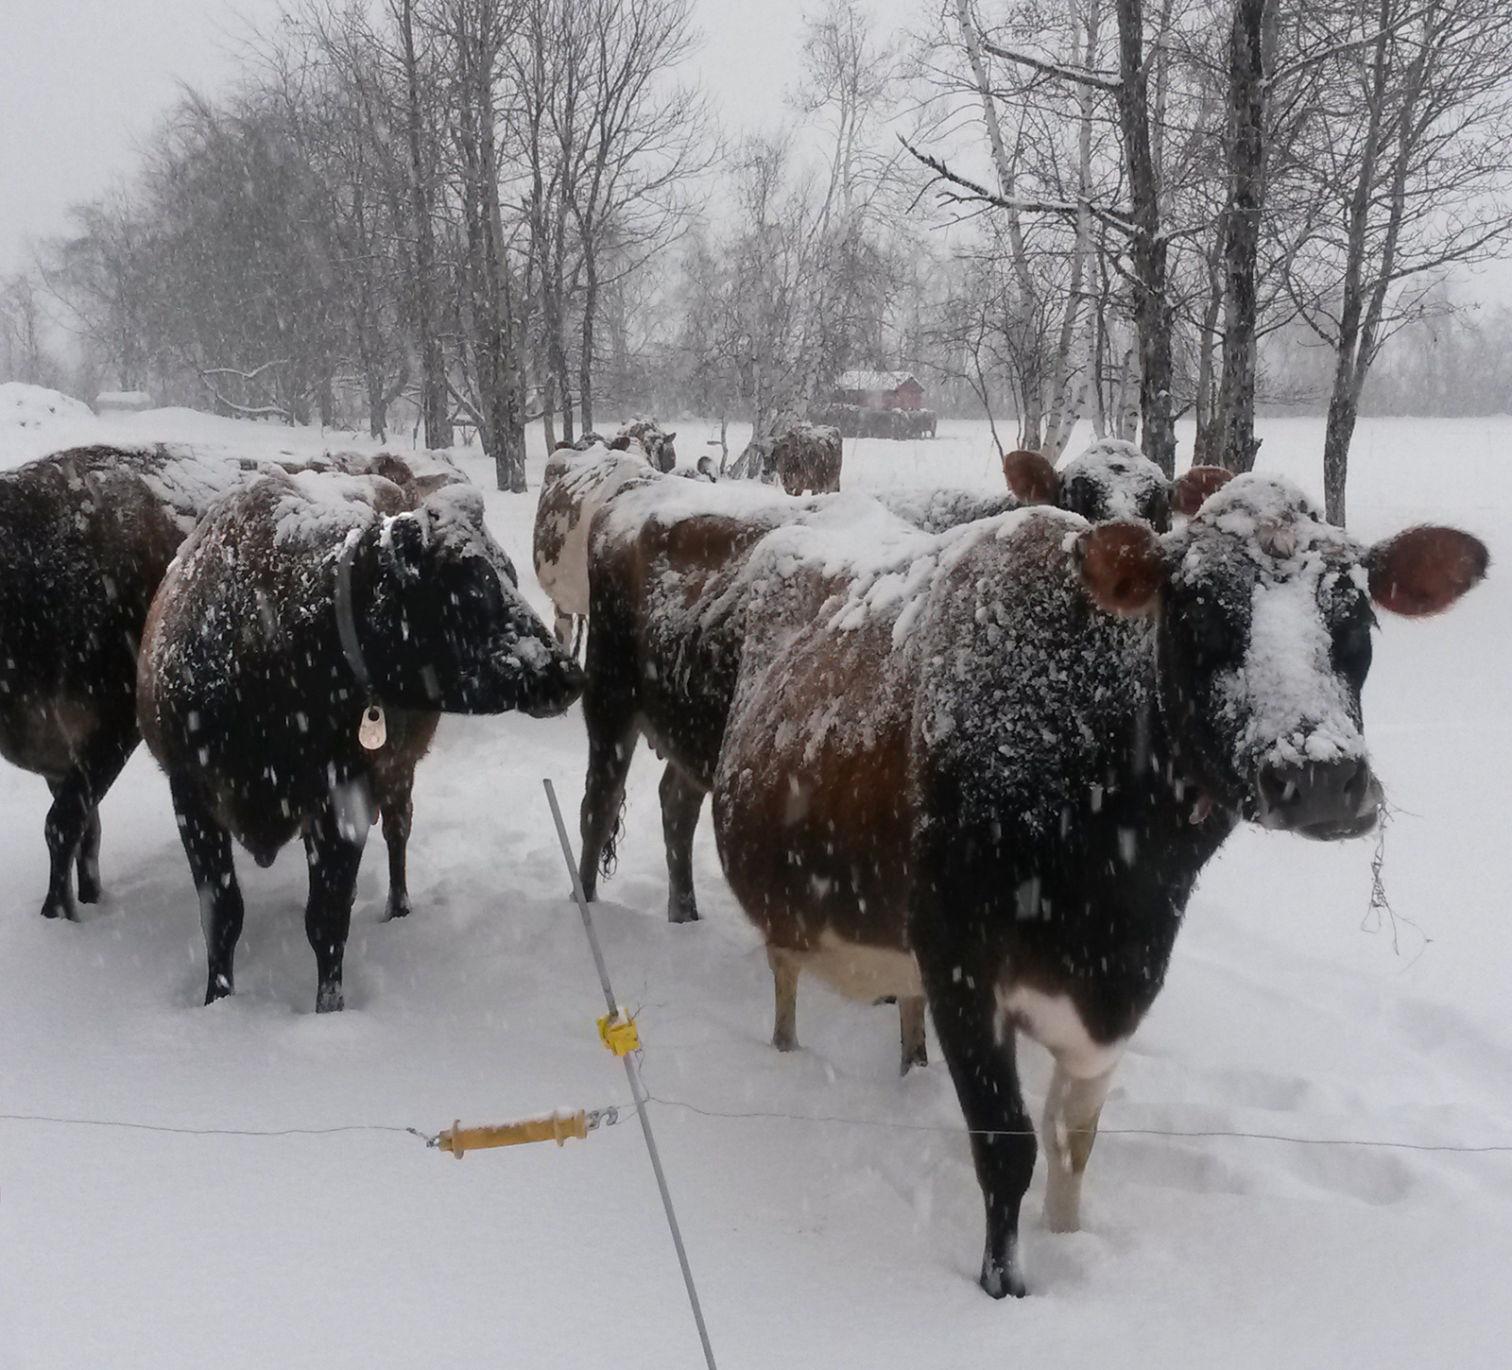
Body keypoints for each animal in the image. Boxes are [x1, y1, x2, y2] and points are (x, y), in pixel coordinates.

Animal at [138, 471, 583, 1012]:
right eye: (472, 588)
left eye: (510, 576)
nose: (566, 674)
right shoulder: (191, 795)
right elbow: (221, 915)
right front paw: (216, 1001)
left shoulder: (342, 796)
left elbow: (327, 919)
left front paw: (328, 1010)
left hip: (398, 775)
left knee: (398, 834)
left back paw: (399, 907)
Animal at [707, 473, 1486, 1298]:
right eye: (1199, 611)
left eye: (1357, 613)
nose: (1320, 776)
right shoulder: (961, 964)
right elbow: (1007, 1145)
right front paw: (1005, 1286)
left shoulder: (1117, 989)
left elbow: (1073, 1141)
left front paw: (1069, 1237)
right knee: (783, 973)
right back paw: (784, 1053)